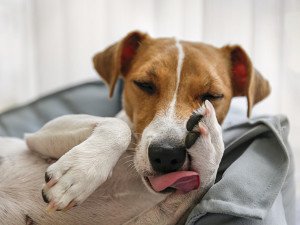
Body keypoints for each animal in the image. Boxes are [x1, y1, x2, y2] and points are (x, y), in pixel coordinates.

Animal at [0, 30, 270, 224]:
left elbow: (204, 182)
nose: (166, 155)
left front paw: (210, 143)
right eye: (144, 84)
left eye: (212, 96)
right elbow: (120, 125)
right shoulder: (41, 133)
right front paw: (78, 173)